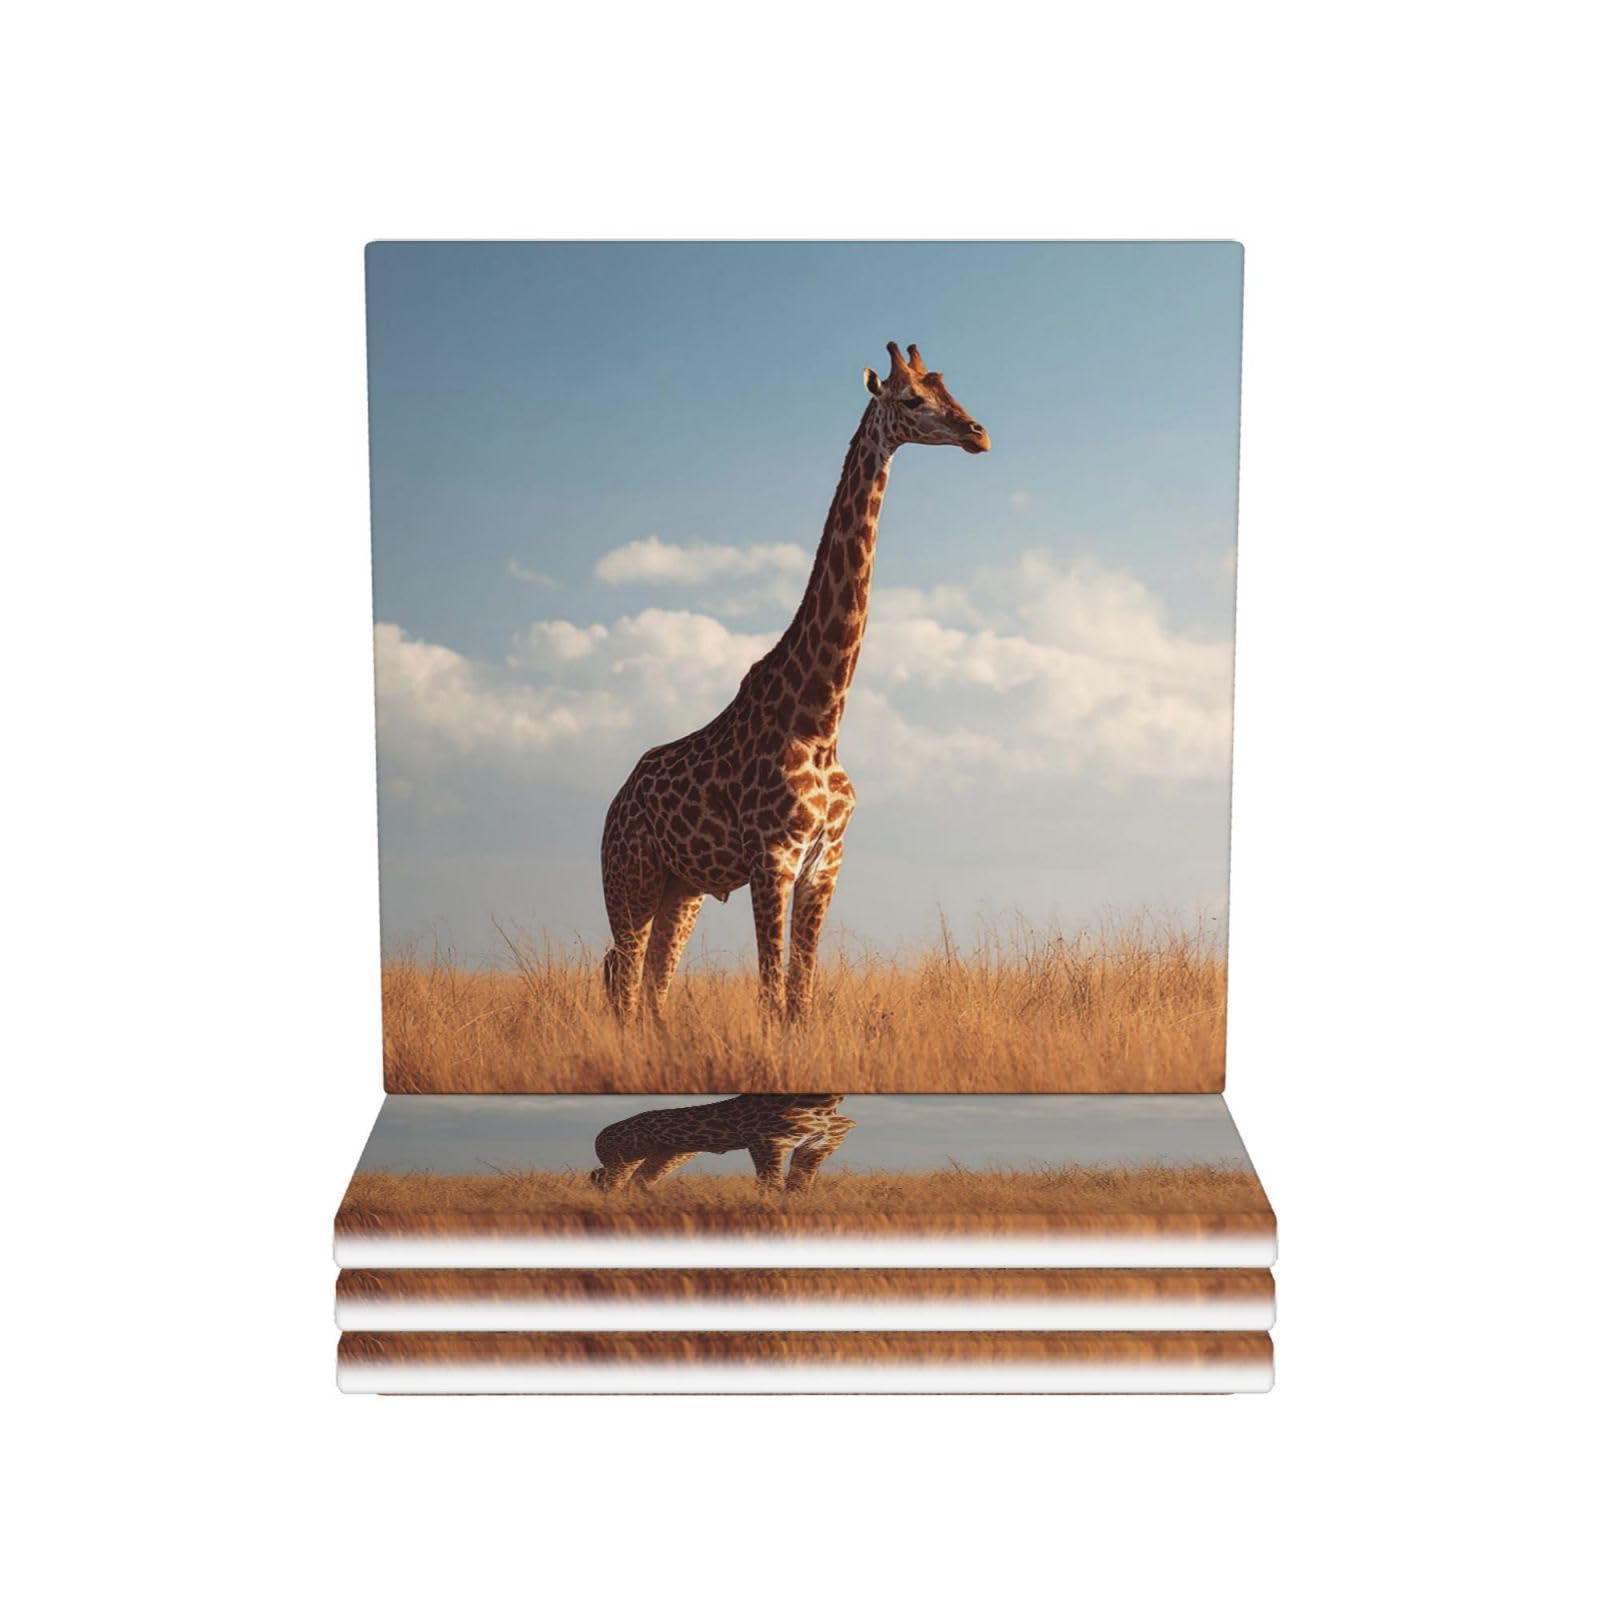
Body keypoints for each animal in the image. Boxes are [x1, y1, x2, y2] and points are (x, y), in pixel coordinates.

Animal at [589, 1094, 856, 1192]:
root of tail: (600, 1134)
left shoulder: (824, 1142)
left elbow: (799, 1185)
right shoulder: (765, 1140)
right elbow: (770, 1186)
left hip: (668, 1157)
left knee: (634, 1182)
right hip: (623, 1159)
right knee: (610, 1183)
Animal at [600, 341, 990, 1022]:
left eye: (950, 389)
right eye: (911, 399)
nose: (978, 433)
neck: (822, 716)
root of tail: (611, 809)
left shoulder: (824, 864)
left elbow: (799, 999)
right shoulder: (772, 859)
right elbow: (771, 995)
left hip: (682, 890)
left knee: (651, 990)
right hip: (630, 881)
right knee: (621, 987)